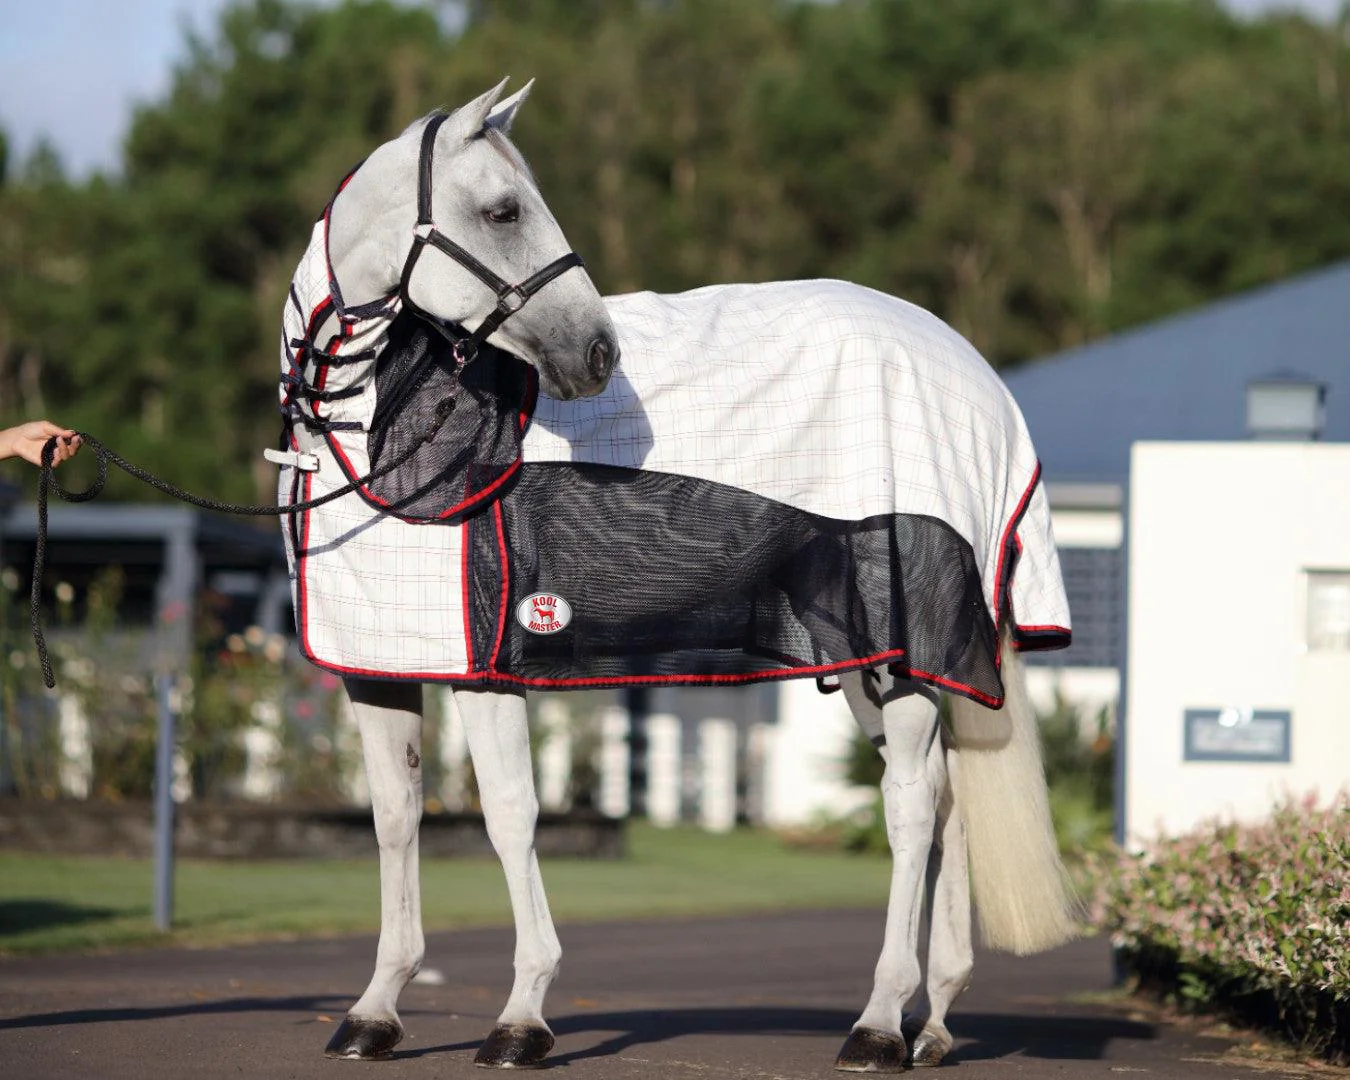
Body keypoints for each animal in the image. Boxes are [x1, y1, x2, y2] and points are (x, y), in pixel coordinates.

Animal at [274, 80, 1083, 1072]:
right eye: (504, 211)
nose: (598, 354)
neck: (395, 429)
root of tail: (977, 374)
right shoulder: (379, 666)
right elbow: (395, 817)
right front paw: (376, 1011)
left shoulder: (485, 663)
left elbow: (509, 814)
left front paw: (522, 1015)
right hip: (870, 658)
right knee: (945, 802)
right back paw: (930, 1024)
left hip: (898, 646)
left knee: (911, 806)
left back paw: (879, 1022)